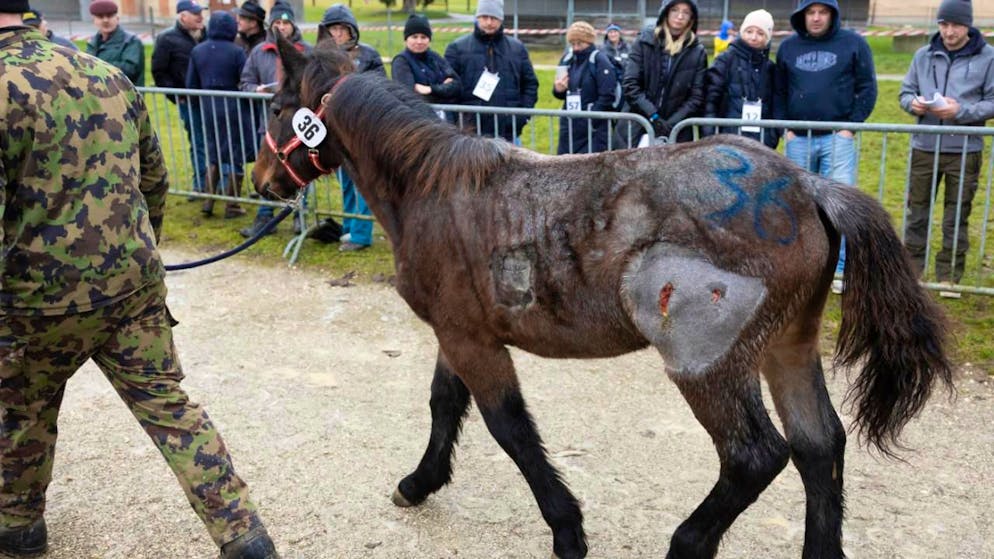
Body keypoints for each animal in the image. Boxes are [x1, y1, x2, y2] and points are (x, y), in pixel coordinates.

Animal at [252, 39, 953, 559]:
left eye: (280, 106)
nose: (259, 182)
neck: (434, 187)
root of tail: (808, 185)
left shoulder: (472, 341)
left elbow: (510, 429)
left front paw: (567, 531)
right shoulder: (459, 332)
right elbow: (445, 405)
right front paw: (419, 483)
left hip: (710, 363)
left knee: (755, 456)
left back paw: (687, 542)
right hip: (788, 347)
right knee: (819, 446)